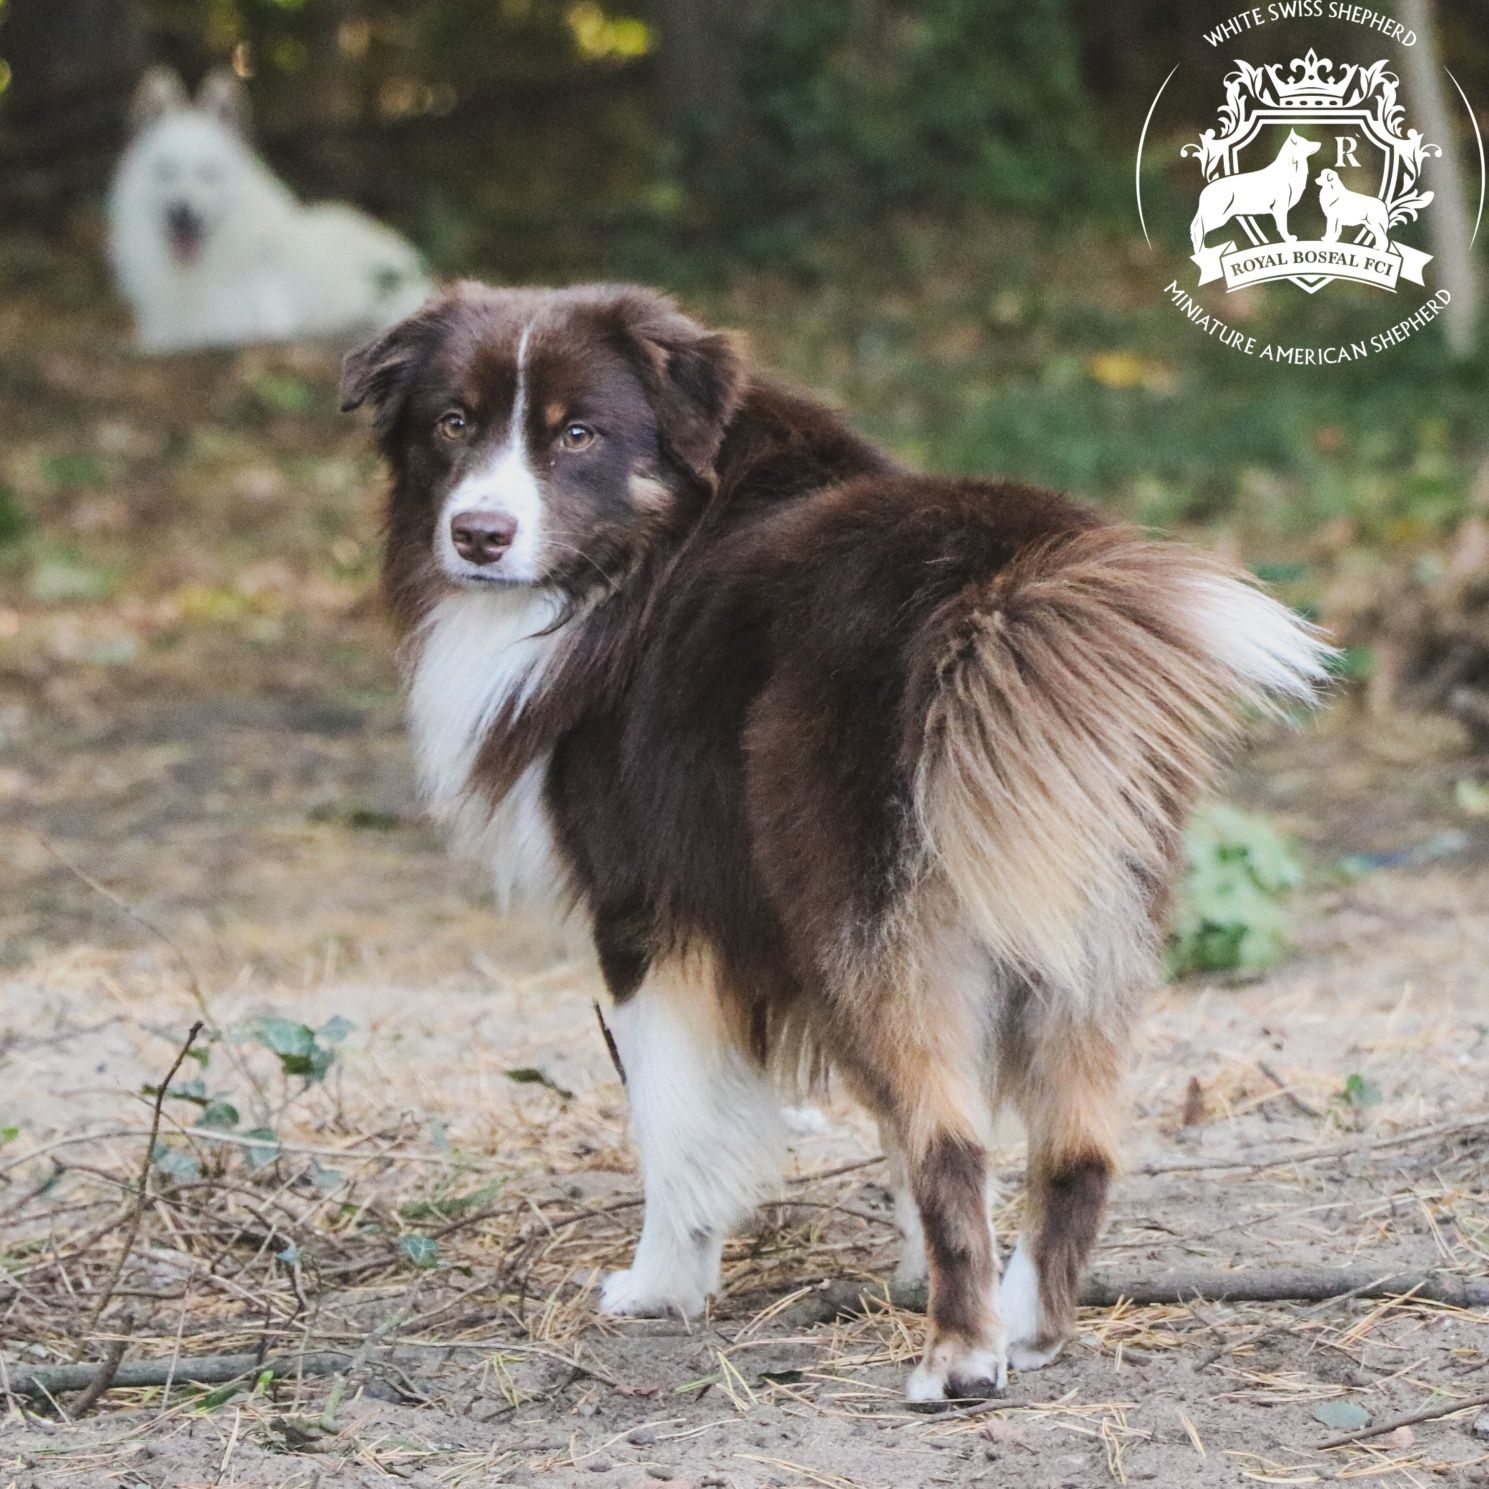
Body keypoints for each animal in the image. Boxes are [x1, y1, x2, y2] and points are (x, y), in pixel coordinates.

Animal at [340, 281, 1328, 1405]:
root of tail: (996, 579)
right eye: (452, 423)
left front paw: (664, 1284)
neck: (653, 538)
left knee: (948, 1135)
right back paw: (1027, 1327)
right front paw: (923, 1270)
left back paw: (958, 1358)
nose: (479, 534)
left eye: (578, 434)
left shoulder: (645, 913)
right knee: (1074, 1147)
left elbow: (676, 1124)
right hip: (1084, 918)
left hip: (861, 916)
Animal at [1191, 131, 1322, 256]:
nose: (1320, 143)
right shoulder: (1280, 208)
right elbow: (1282, 226)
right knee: (1198, 229)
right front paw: (1289, 239)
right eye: (1306, 142)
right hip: (1218, 216)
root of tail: (1205, 191)